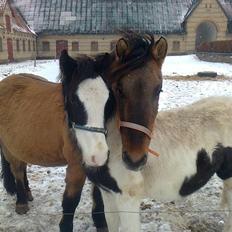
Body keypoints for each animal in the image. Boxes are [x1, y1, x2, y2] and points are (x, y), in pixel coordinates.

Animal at [0, 50, 109, 232]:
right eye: (73, 100)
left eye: (108, 99)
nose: (98, 154)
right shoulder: (76, 166)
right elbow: (70, 202)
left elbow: (98, 196)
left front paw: (101, 223)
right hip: (10, 149)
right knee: (17, 171)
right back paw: (21, 202)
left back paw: (27, 194)